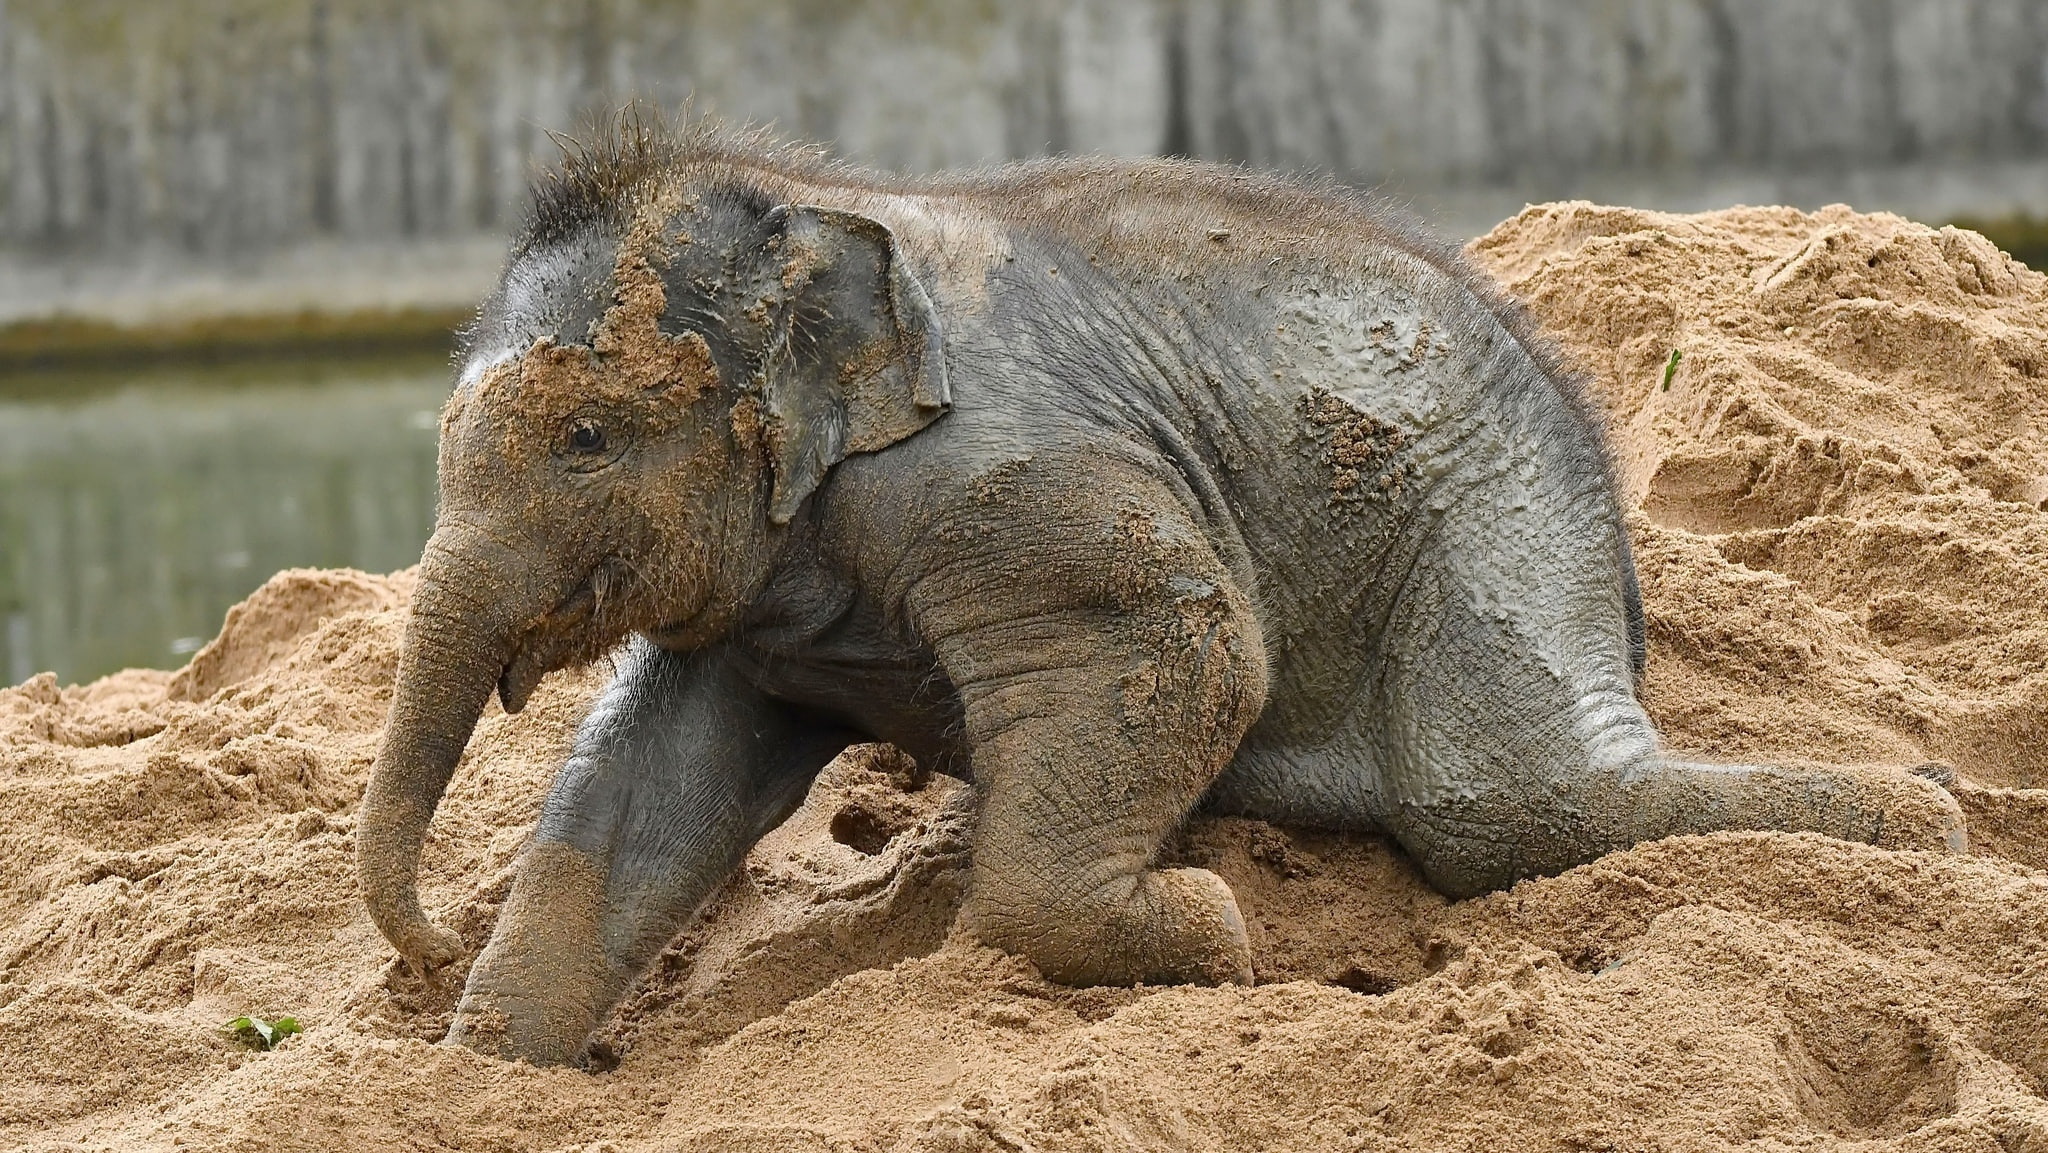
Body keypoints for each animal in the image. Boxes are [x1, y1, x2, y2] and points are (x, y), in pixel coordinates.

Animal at [356, 120, 1967, 1066]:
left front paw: (1206, 930)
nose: (421, 950)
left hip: (1495, 508)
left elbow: (1184, 634)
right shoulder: (760, 594)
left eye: (583, 438)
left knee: (1507, 799)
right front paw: (493, 1063)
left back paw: (1931, 818)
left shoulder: (1005, 474)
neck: (806, 215)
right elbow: (645, 778)